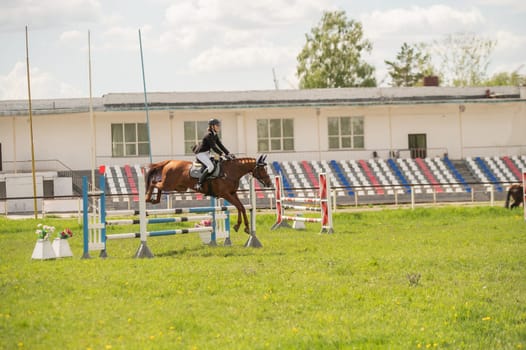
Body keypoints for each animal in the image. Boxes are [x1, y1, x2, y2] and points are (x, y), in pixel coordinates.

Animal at [146, 154, 274, 234]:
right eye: (262, 169)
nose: (269, 183)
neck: (231, 171)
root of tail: (170, 162)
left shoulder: (233, 193)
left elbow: (241, 207)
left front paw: (244, 227)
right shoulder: (226, 194)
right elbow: (239, 206)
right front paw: (240, 226)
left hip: (177, 187)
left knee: (157, 185)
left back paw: (155, 200)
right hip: (169, 184)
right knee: (153, 183)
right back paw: (148, 198)